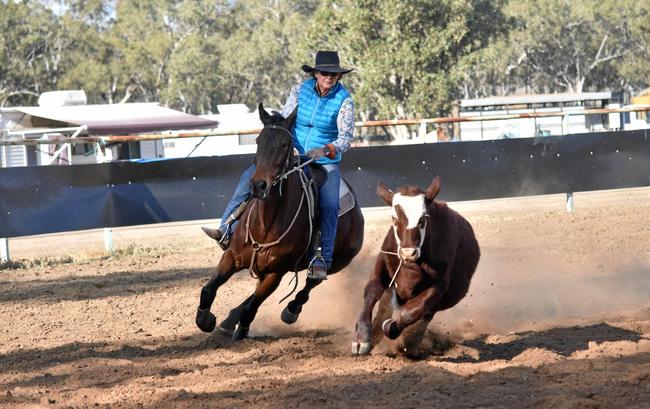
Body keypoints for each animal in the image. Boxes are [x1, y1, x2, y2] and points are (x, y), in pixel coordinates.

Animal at [192, 103, 364, 340]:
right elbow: (209, 289)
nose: (258, 185)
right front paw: (205, 319)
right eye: (258, 141)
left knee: (309, 284)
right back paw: (229, 319)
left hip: (337, 262)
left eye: (284, 144)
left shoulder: (276, 273)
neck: (265, 224)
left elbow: (252, 307)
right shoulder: (232, 257)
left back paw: (290, 310)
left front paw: (242, 329)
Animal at [352, 175, 478, 354]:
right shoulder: (383, 261)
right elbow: (372, 289)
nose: (408, 253)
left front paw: (392, 327)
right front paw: (361, 339)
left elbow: (412, 312)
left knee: (423, 316)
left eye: (422, 219)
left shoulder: (439, 284)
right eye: (394, 219)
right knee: (385, 304)